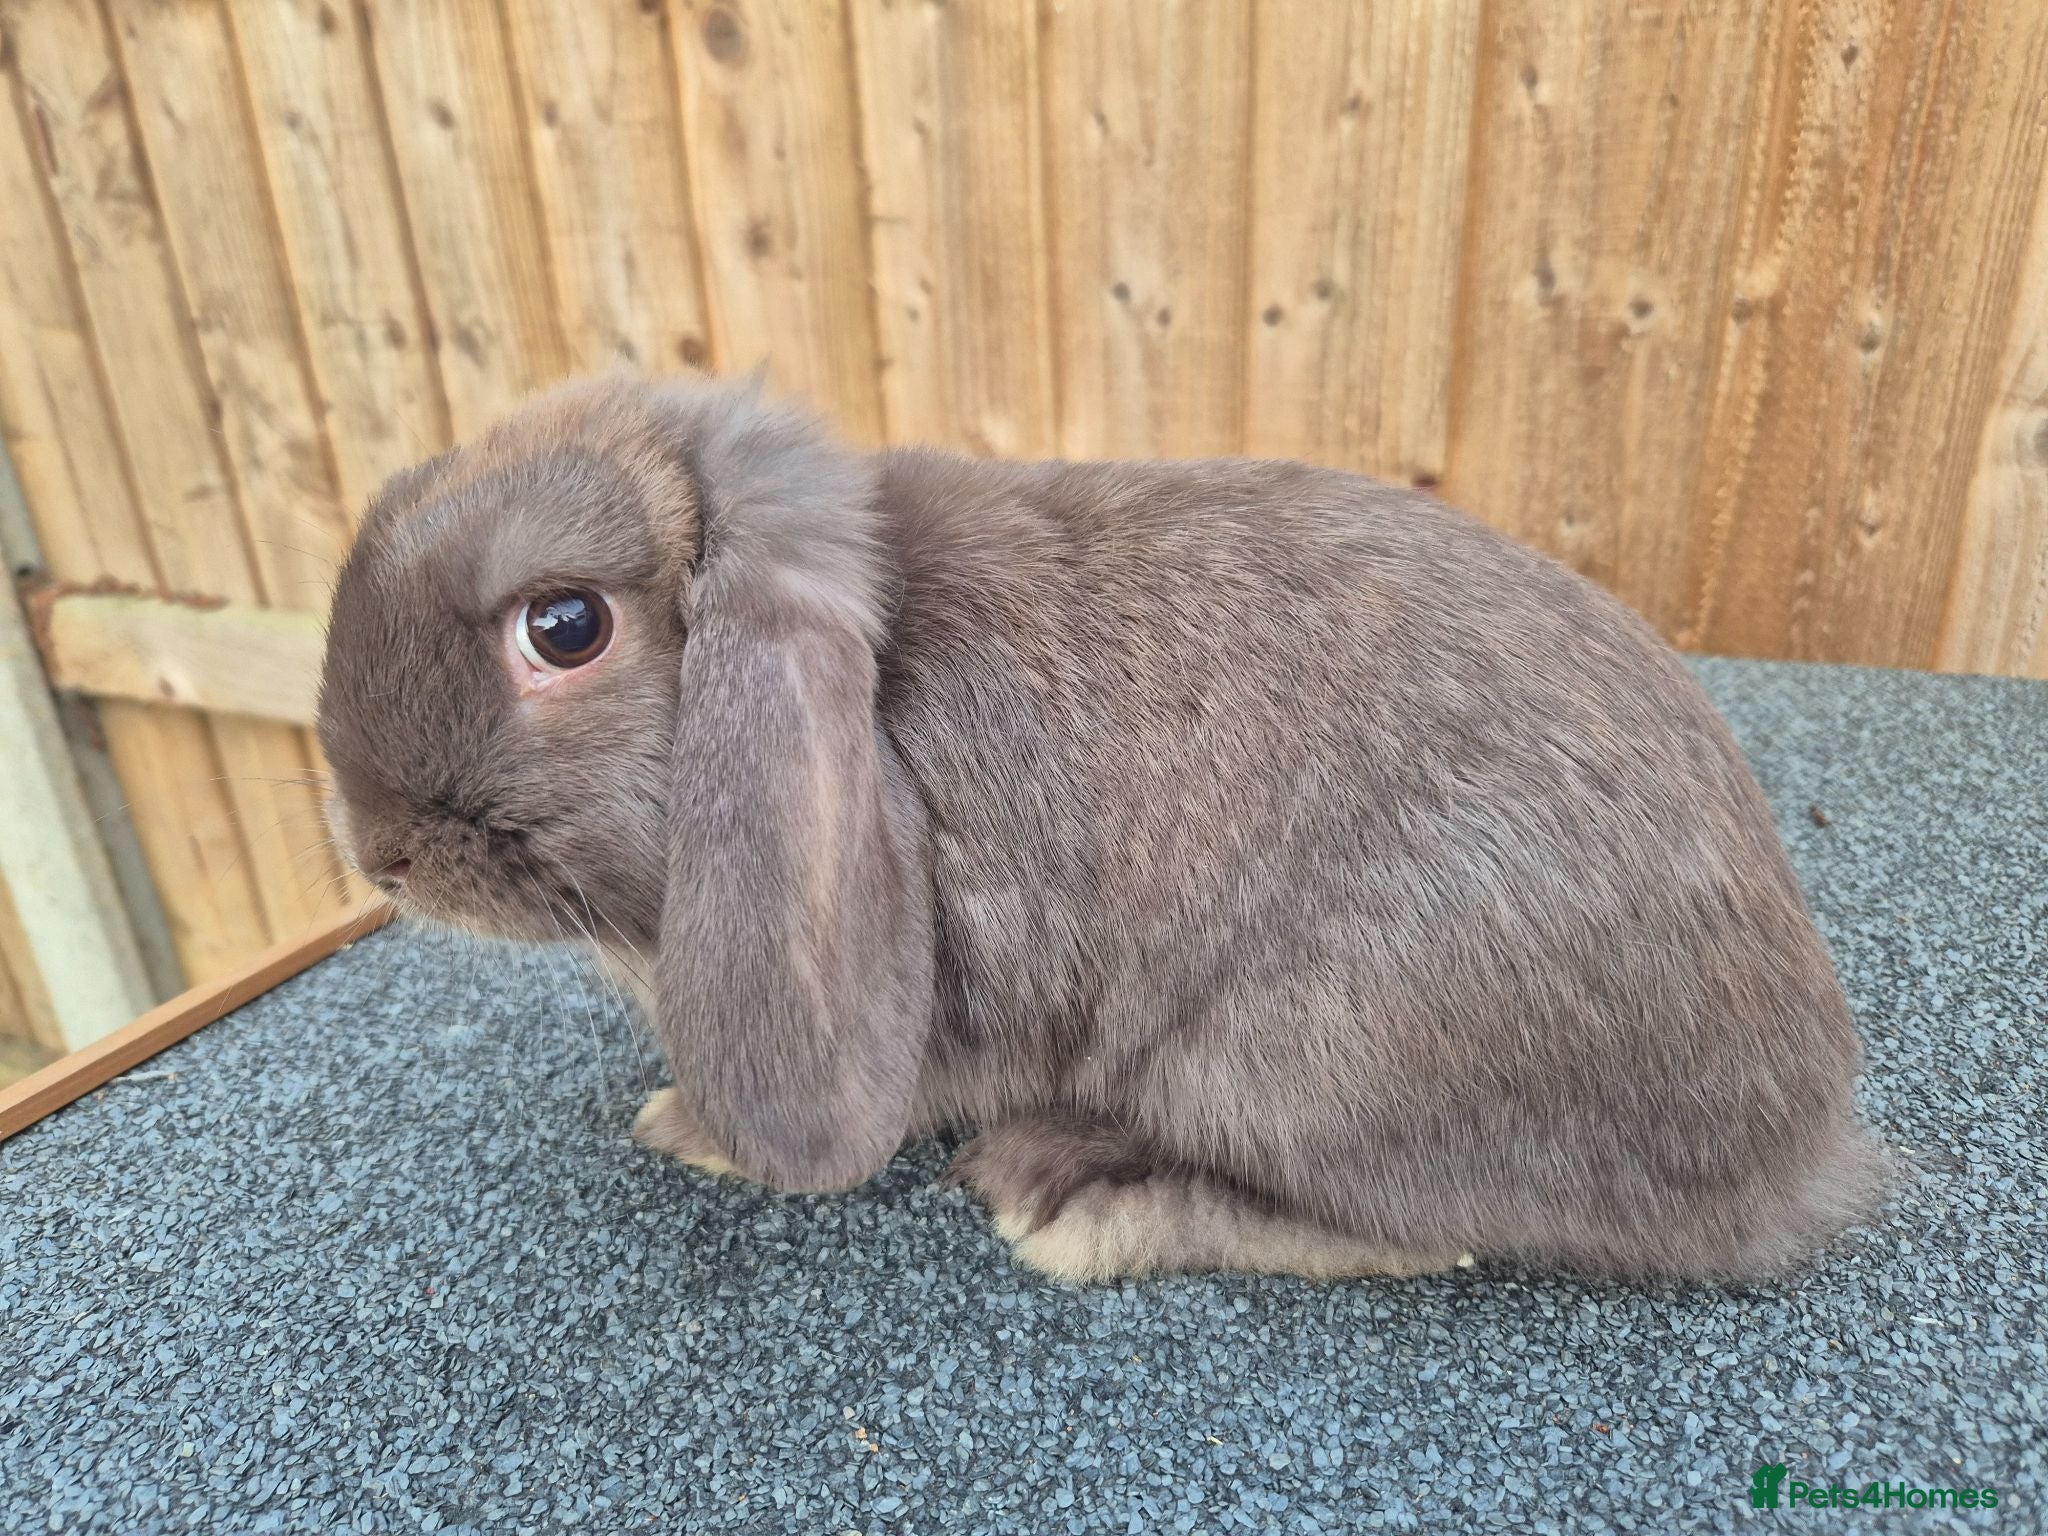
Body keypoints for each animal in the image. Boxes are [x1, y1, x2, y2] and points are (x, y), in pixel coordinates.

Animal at [316, 372, 1886, 1285]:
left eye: (564, 628)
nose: (377, 851)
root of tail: (1790, 1144)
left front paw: (686, 1125)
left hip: (1307, 1052)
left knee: (1413, 1239)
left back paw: (1070, 1197)